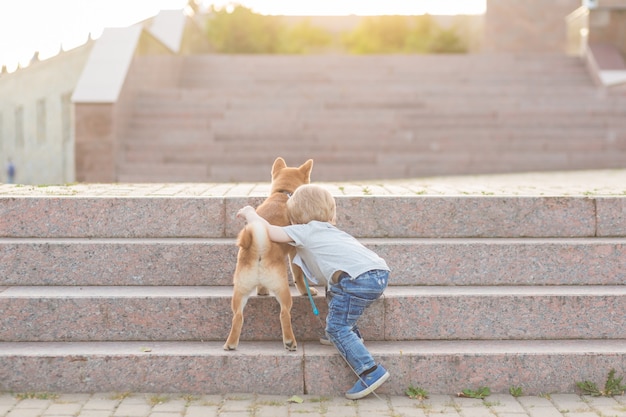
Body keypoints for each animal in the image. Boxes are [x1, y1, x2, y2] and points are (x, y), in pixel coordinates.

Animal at [222, 158, 314, 350]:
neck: (283, 194)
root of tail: (259, 247)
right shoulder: (295, 251)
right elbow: (299, 276)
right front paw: (305, 291)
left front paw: (262, 291)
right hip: (283, 291)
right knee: (284, 314)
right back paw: (290, 341)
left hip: (239, 291)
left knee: (238, 317)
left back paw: (231, 344)